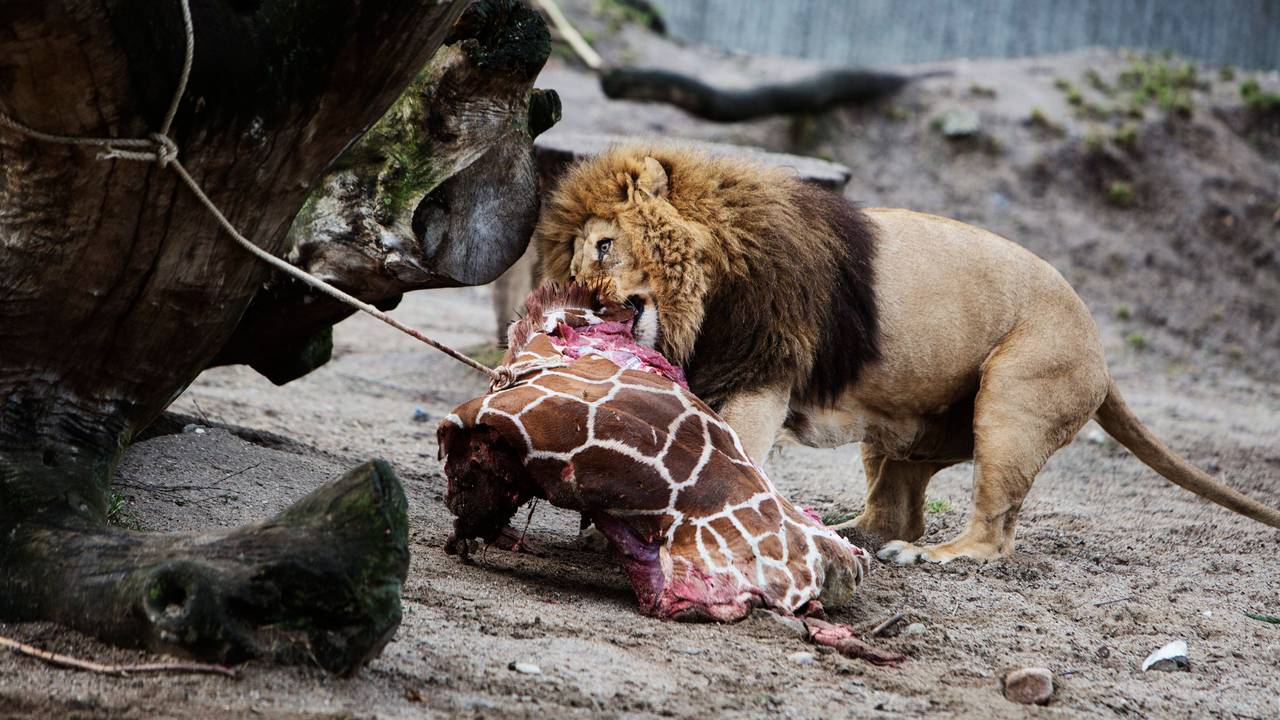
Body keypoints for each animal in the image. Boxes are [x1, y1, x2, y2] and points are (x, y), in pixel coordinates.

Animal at [532, 145, 1280, 566]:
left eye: (603, 247)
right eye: (576, 258)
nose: (581, 301)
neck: (706, 290)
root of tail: (1099, 343)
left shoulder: (762, 373)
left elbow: (731, 454)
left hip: (1015, 399)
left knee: (992, 535)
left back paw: (931, 556)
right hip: (903, 428)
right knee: (895, 507)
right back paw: (848, 533)